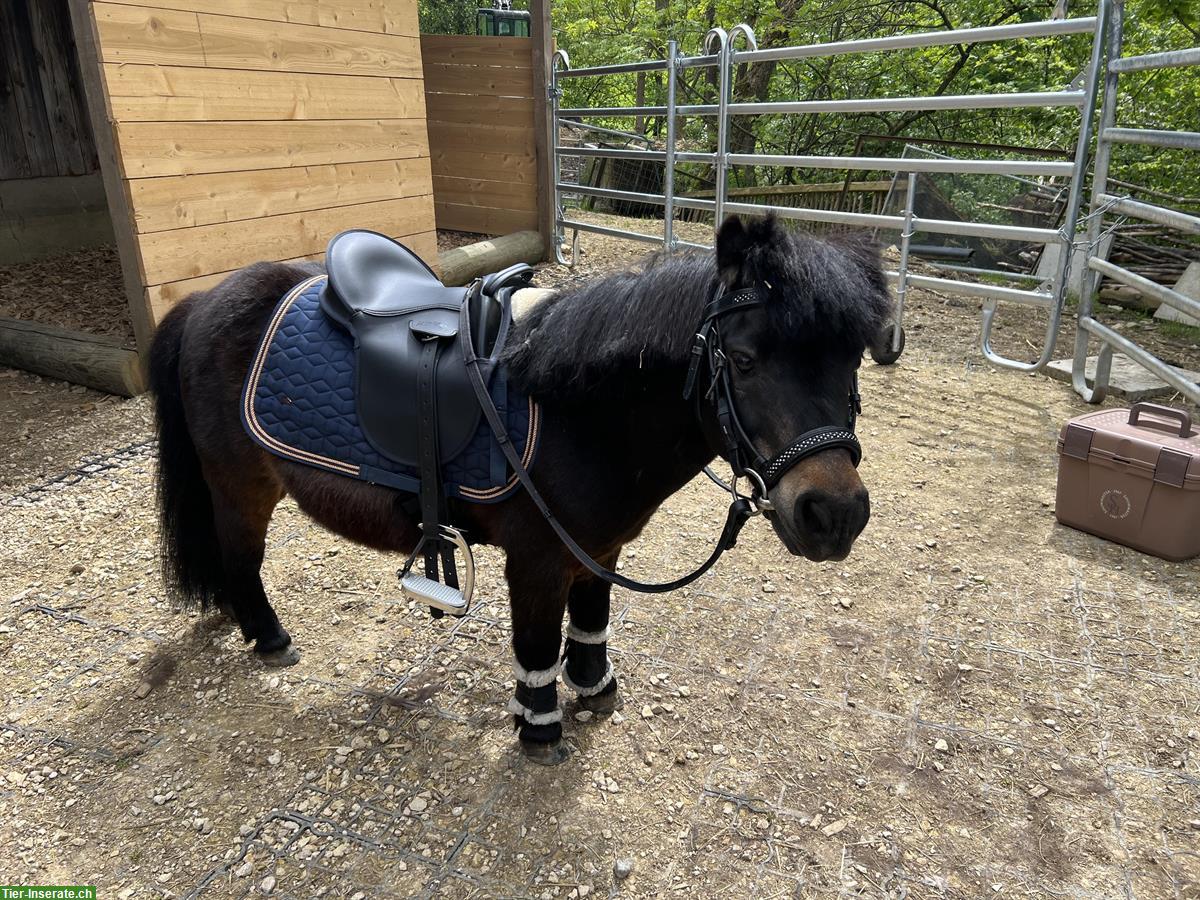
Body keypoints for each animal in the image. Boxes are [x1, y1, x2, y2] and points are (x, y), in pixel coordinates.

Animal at [150, 217, 892, 763]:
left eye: (852, 359)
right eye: (742, 360)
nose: (835, 514)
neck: (575, 409)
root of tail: (205, 301)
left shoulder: (599, 549)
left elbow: (590, 623)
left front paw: (595, 690)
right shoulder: (536, 561)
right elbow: (536, 643)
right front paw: (539, 728)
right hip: (240, 483)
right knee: (240, 558)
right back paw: (268, 637)